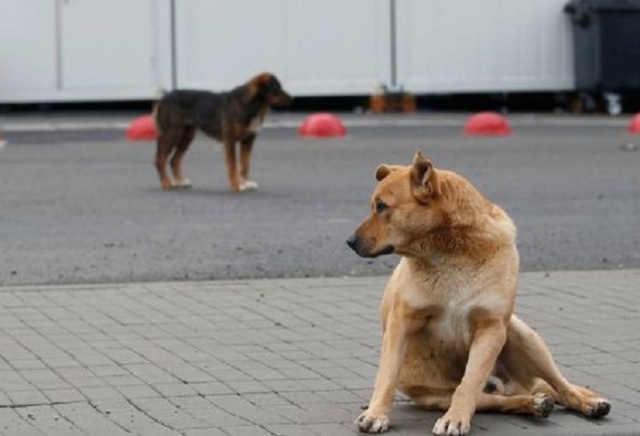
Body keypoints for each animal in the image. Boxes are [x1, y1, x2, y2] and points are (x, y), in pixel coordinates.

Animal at [152, 72, 290, 192]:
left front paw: (246, 183)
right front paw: (236, 186)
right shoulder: (230, 140)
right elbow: (233, 165)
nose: (291, 99)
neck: (250, 104)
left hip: (186, 136)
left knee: (174, 160)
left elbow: (245, 164)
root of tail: (164, 97)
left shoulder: (248, 140)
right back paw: (166, 183)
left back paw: (180, 181)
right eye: (276, 88)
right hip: (172, 134)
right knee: (160, 160)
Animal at [348, 151, 612, 436]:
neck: (450, 254)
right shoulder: (401, 322)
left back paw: (587, 403)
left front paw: (454, 419)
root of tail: (516, 384)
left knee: (560, 386)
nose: (349, 242)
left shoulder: (491, 328)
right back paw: (534, 404)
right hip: (439, 397)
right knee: (501, 400)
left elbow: (469, 382)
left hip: (524, 338)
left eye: (381, 206)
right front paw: (376, 413)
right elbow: (386, 377)